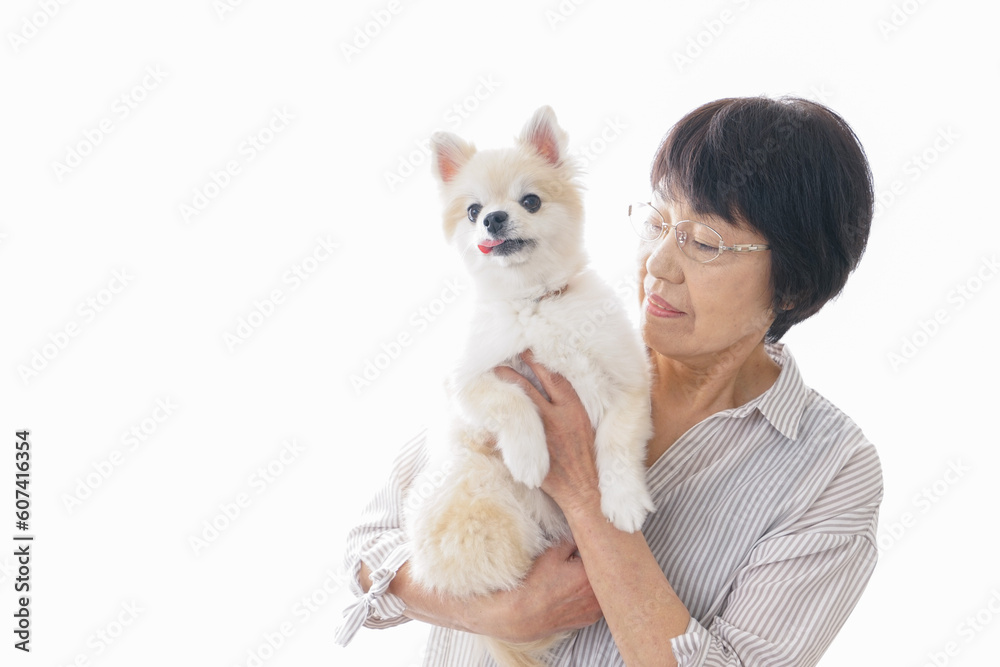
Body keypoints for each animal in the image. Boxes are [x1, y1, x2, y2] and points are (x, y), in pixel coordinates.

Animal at [404, 106, 654, 667]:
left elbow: (616, 442)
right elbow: (511, 401)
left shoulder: (627, 382)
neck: (535, 301)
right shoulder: (470, 380)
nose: (494, 219)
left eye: (531, 201)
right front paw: (530, 457)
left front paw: (623, 500)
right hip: (479, 496)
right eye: (473, 211)